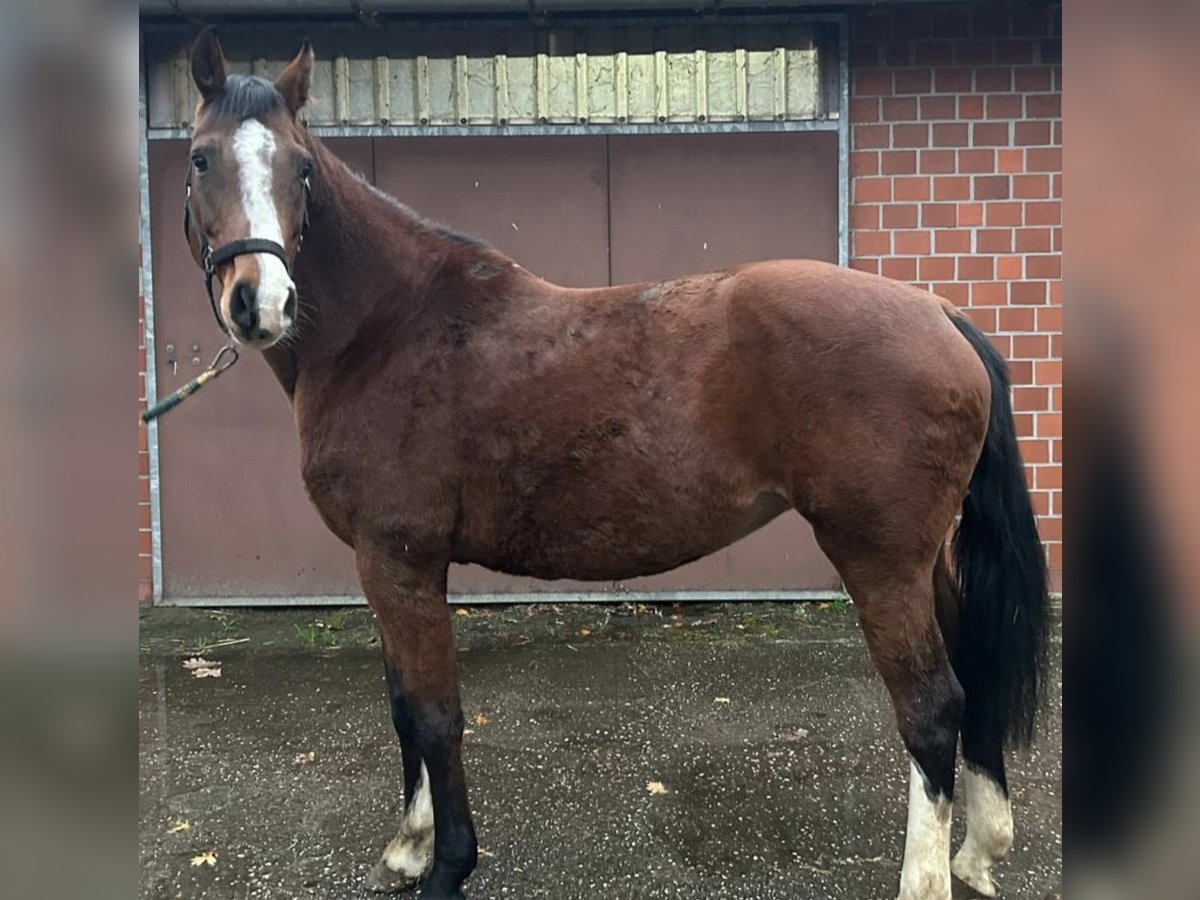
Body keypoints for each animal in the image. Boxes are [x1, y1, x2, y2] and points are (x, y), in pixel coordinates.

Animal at [180, 28, 1049, 900]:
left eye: (300, 168)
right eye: (200, 158)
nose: (261, 303)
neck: (389, 330)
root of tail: (940, 313)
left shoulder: (400, 562)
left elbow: (434, 715)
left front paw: (448, 865)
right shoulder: (386, 567)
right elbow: (402, 709)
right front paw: (408, 848)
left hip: (879, 561)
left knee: (930, 708)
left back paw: (927, 877)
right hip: (922, 562)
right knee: (971, 677)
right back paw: (978, 851)